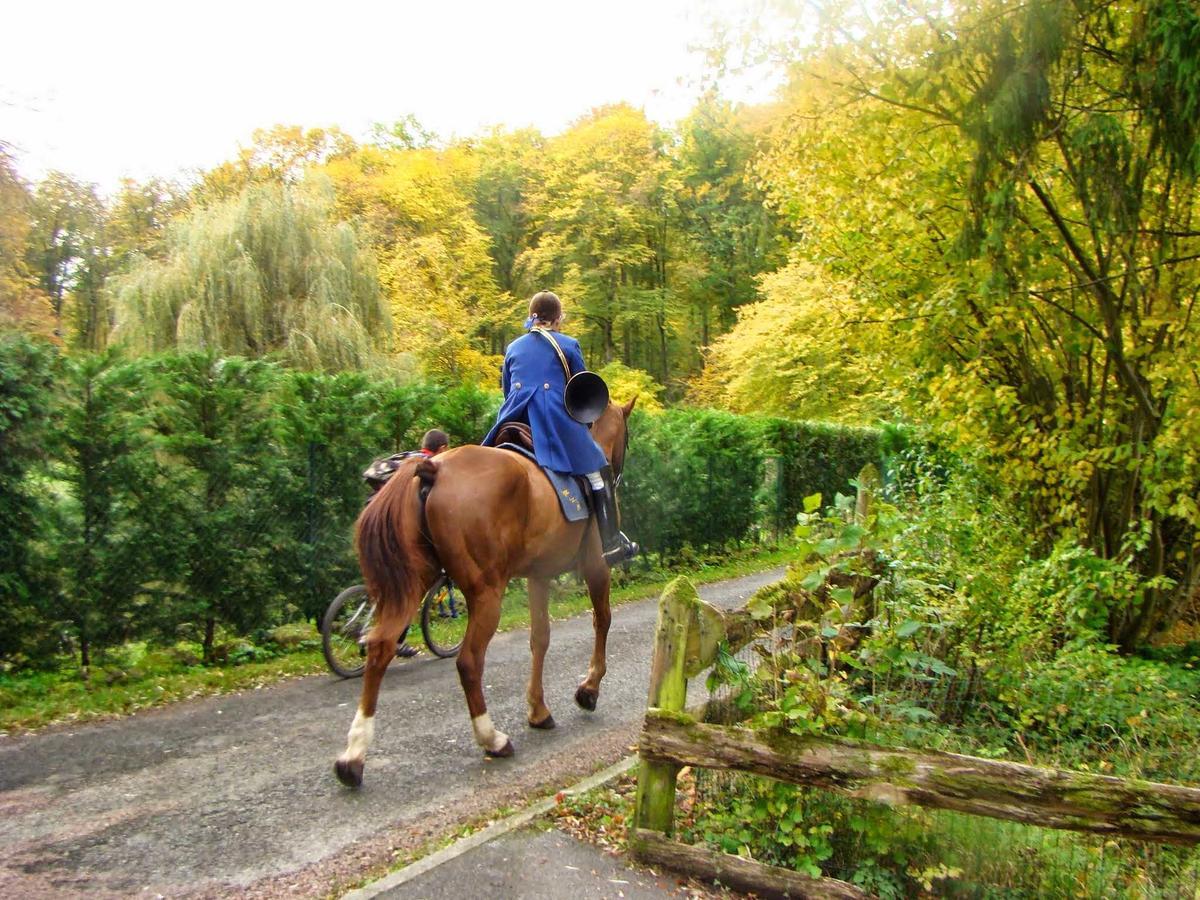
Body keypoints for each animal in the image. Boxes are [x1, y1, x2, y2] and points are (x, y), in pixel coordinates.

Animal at [336, 398, 638, 787]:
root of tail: (432, 468)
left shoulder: (538, 576)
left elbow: (540, 639)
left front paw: (538, 710)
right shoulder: (596, 566)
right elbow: (602, 621)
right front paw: (589, 689)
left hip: (412, 584)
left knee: (380, 647)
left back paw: (353, 756)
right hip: (485, 594)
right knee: (467, 661)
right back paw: (491, 738)